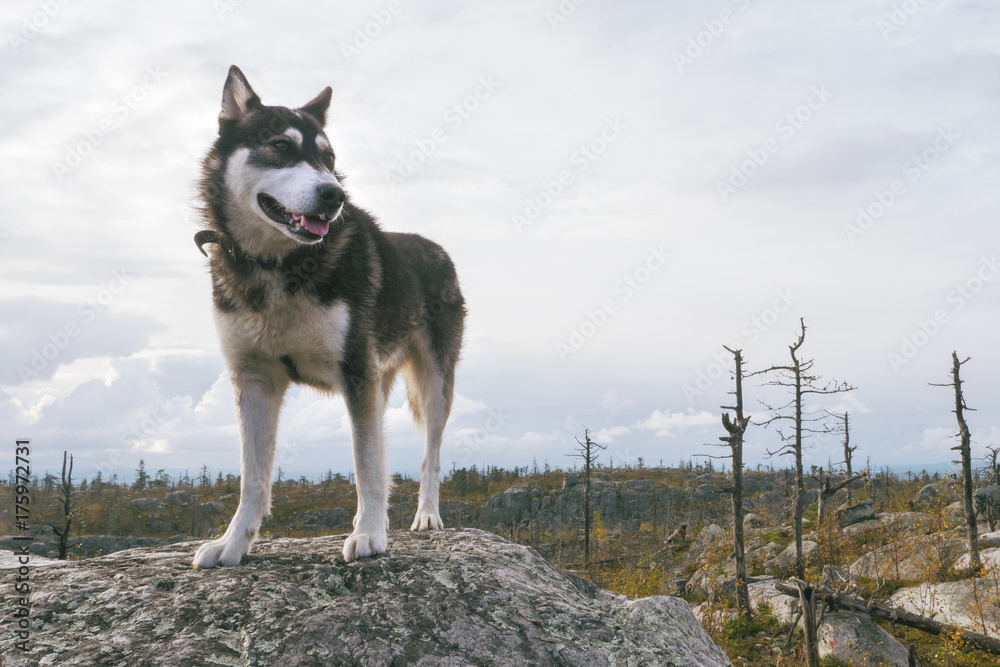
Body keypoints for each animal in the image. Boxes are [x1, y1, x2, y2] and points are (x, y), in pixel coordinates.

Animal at [193, 64, 466, 568]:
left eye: (328, 156)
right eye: (281, 147)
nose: (333, 194)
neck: (276, 265)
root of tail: (436, 248)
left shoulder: (357, 376)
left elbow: (367, 466)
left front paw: (371, 533)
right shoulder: (254, 381)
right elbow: (252, 479)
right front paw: (234, 542)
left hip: (436, 383)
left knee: (431, 454)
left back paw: (427, 516)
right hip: (383, 379)